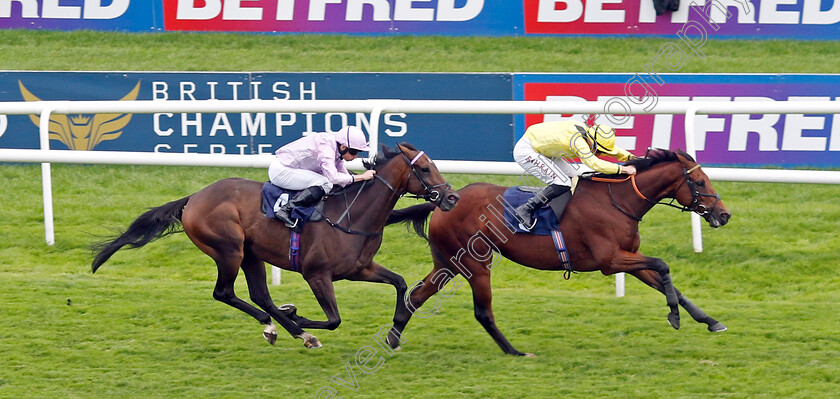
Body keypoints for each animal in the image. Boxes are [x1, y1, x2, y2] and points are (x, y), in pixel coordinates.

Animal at [92, 145, 460, 350]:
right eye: (424, 168)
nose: (452, 197)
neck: (352, 214)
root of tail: (193, 198)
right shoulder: (317, 274)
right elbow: (333, 319)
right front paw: (298, 317)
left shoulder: (359, 269)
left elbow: (400, 282)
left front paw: (394, 333)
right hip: (229, 249)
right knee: (225, 293)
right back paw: (288, 328)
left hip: (251, 254)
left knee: (258, 295)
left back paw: (280, 325)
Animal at [386, 149, 728, 356]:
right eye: (700, 182)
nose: (724, 215)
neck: (618, 201)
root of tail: (442, 202)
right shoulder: (610, 260)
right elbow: (663, 264)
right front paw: (674, 317)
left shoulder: (629, 259)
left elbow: (668, 281)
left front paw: (709, 320)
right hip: (475, 262)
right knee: (482, 311)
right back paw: (514, 351)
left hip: (448, 263)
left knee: (417, 295)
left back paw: (393, 338)